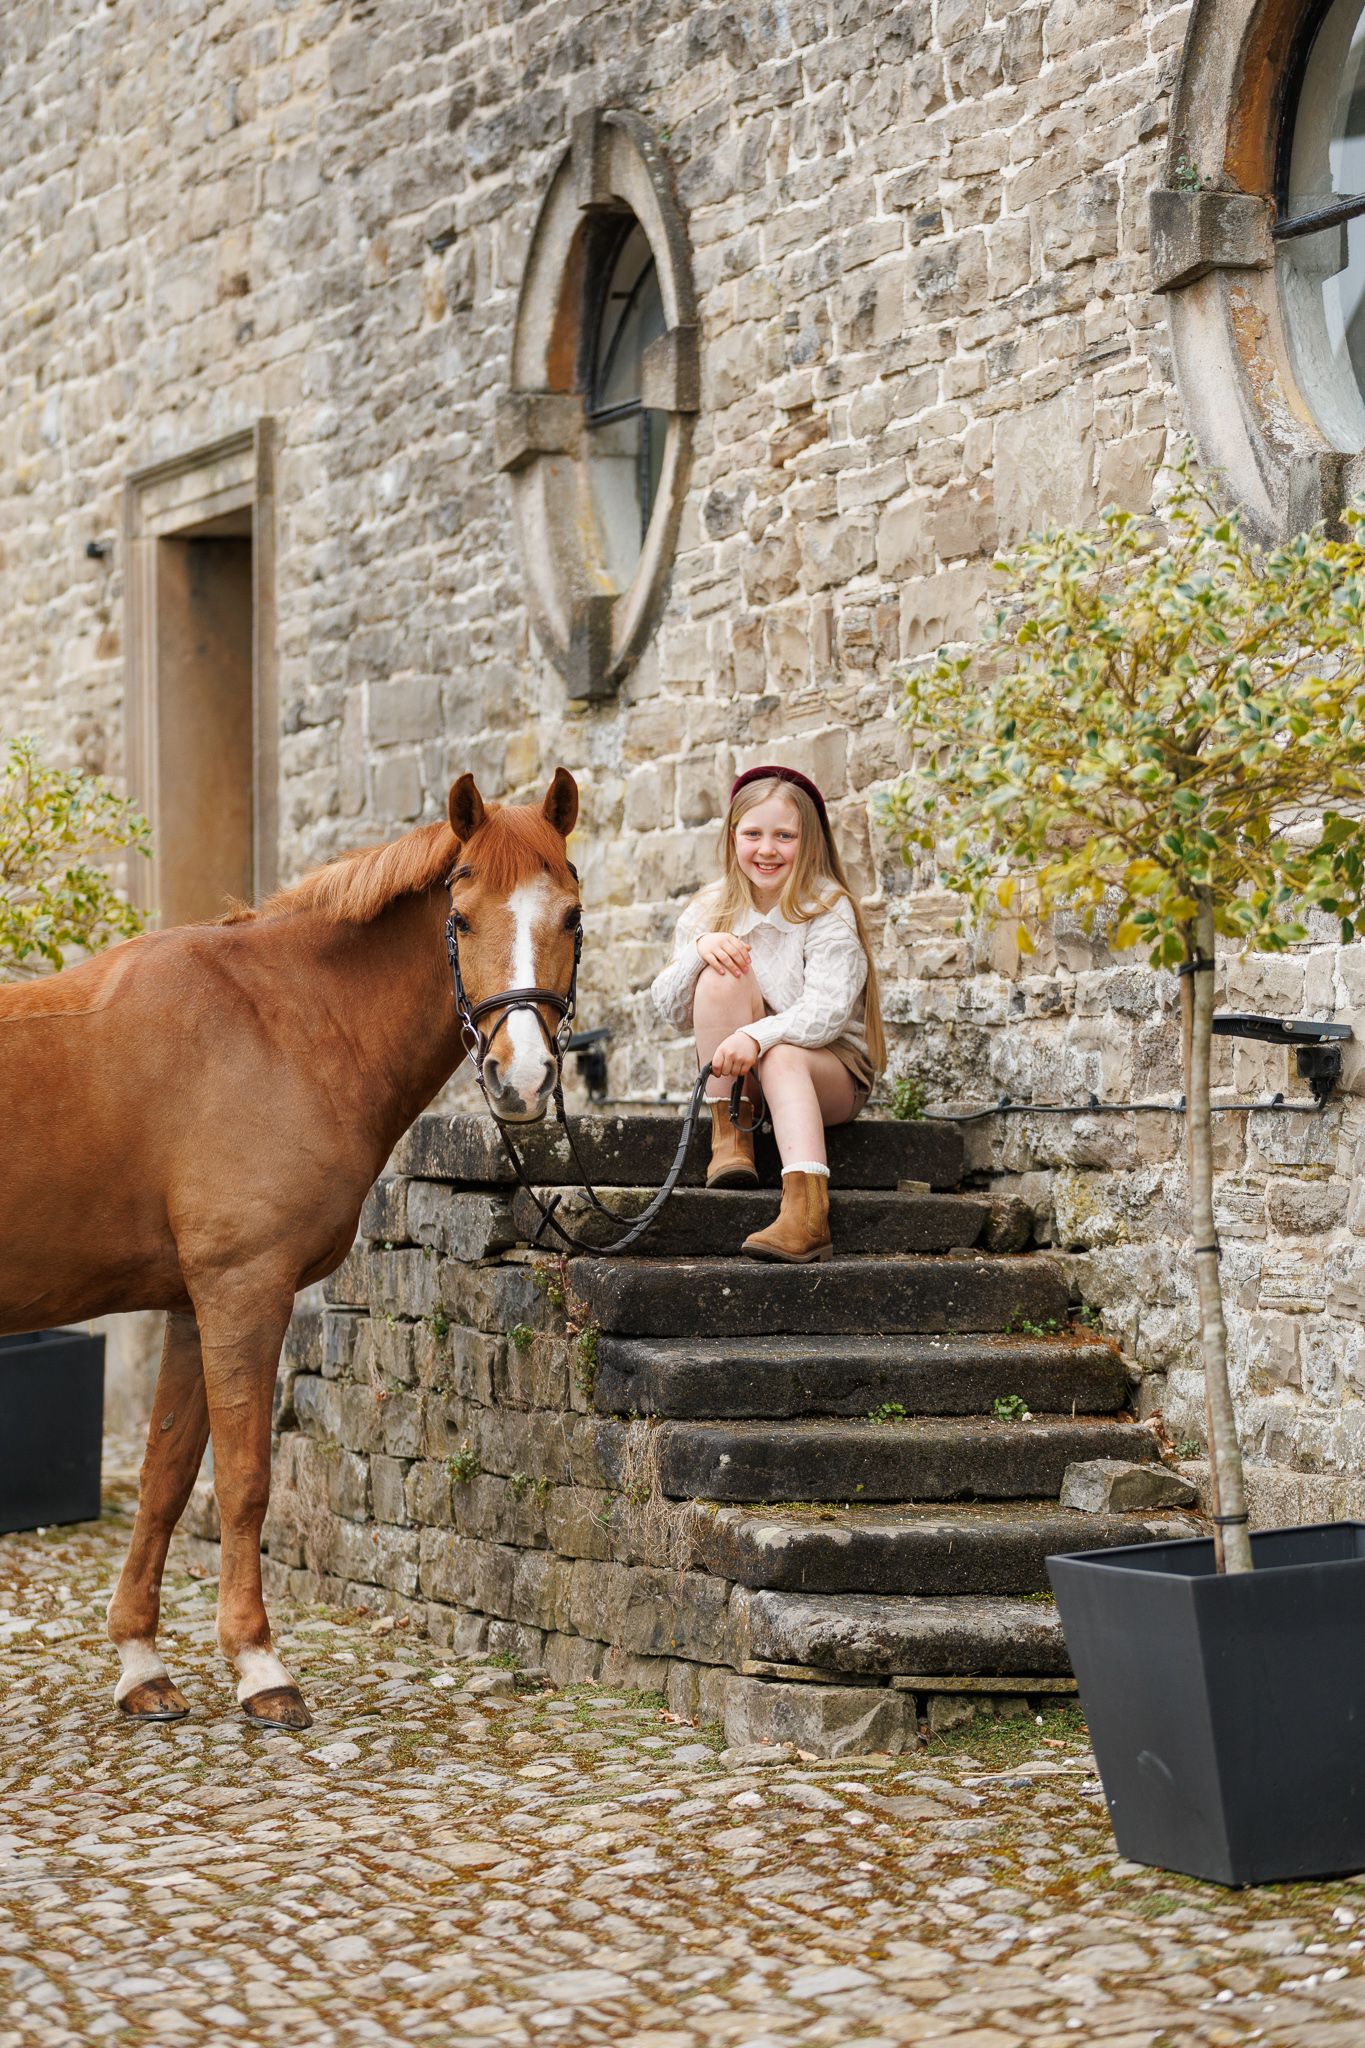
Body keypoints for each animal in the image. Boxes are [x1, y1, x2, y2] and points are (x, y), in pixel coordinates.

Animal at [0, 769, 580, 1729]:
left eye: (569, 916)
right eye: (460, 921)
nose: (522, 1078)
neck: (278, 1025)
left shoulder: (190, 1303)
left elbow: (166, 1476)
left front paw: (141, 1664)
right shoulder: (244, 1290)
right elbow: (244, 1480)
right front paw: (259, 1665)